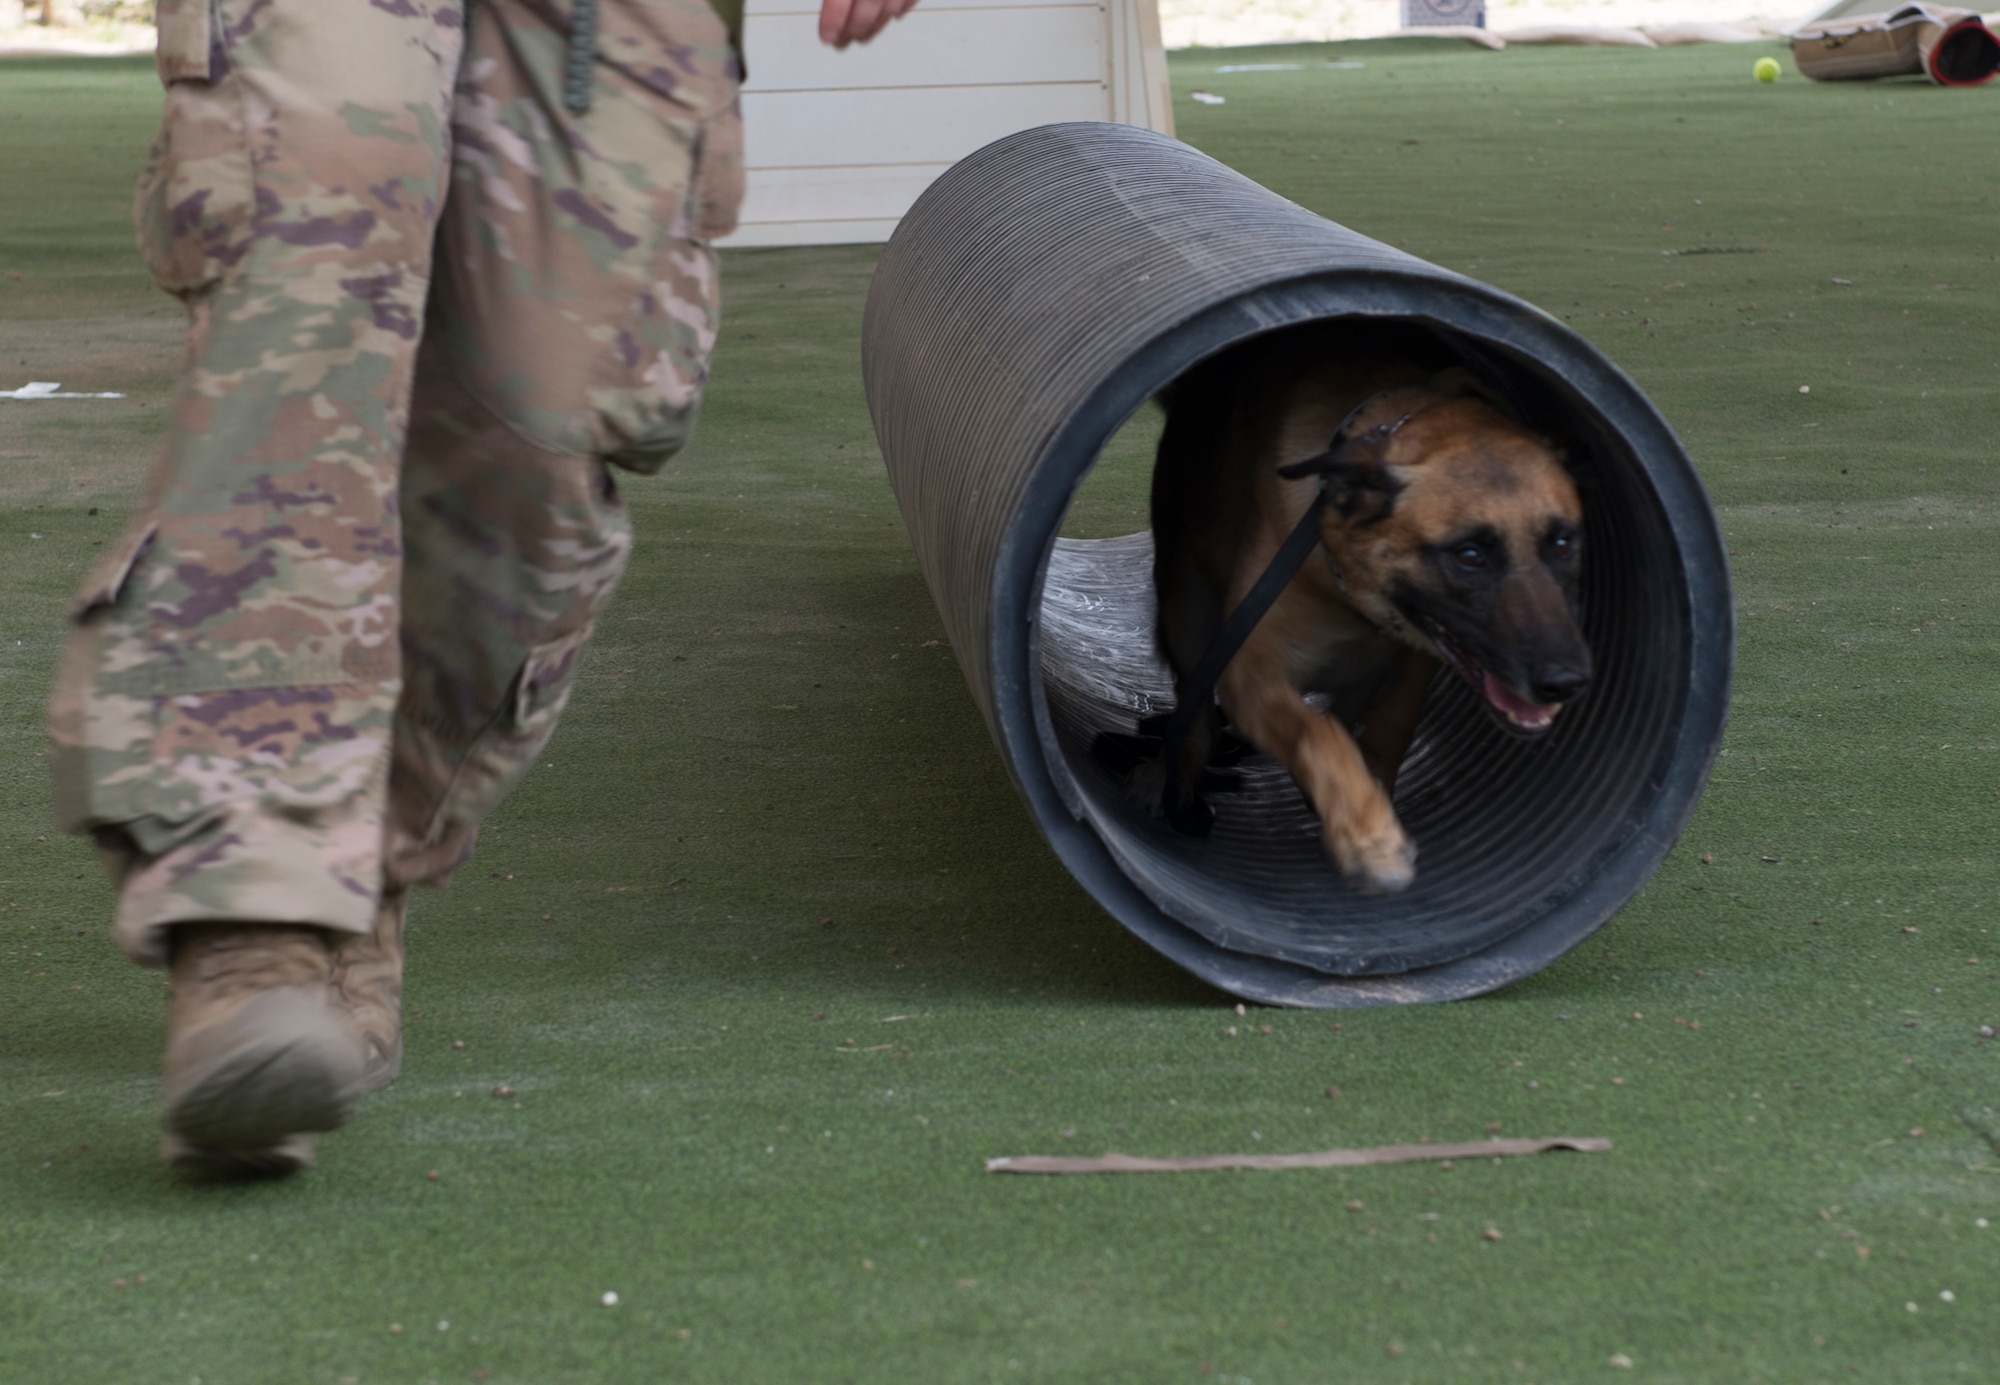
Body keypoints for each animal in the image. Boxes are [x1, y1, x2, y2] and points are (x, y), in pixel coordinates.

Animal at [1144, 322, 1592, 888]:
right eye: (1469, 556)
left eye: (1563, 542)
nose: (1566, 681)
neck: (1351, 596)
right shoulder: (1249, 673)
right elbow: (1319, 732)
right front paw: (1367, 833)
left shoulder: (1413, 660)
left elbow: (1388, 726)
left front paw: (1371, 798)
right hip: (1191, 621)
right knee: (1197, 719)